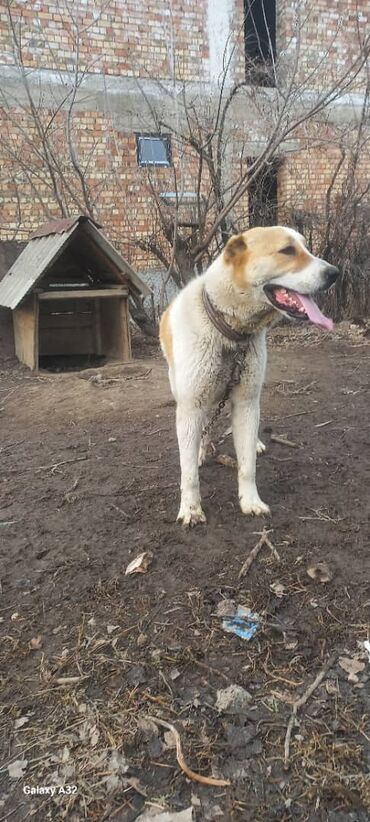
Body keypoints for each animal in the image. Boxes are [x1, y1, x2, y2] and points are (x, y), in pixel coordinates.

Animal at [159, 227, 338, 528]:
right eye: (287, 250)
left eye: (306, 247)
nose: (335, 273)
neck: (230, 333)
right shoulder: (191, 406)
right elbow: (189, 473)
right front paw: (191, 509)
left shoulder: (246, 401)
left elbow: (247, 467)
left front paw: (250, 502)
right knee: (204, 427)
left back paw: (253, 443)